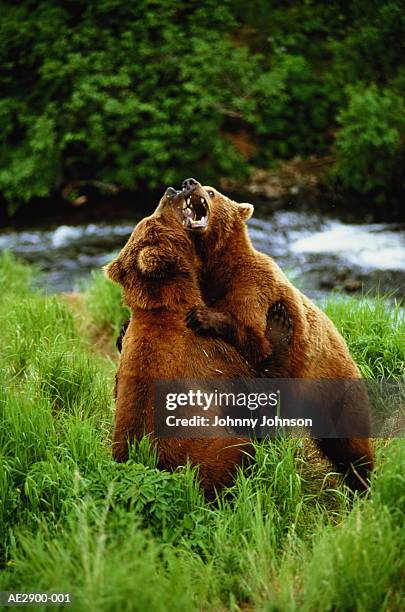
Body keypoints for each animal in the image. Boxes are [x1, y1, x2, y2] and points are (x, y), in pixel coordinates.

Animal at [105, 188, 292, 498]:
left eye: (148, 215)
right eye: (158, 216)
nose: (172, 190)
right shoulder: (210, 355)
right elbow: (252, 390)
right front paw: (278, 323)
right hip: (220, 452)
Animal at [178, 178, 374, 492]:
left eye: (211, 192)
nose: (189, 182)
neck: (220, 269)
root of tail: (357, 367)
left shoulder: (253, 290)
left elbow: (255, 340)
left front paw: (202, 317)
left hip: (336, 394)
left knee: (351, 446)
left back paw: (363, 483)